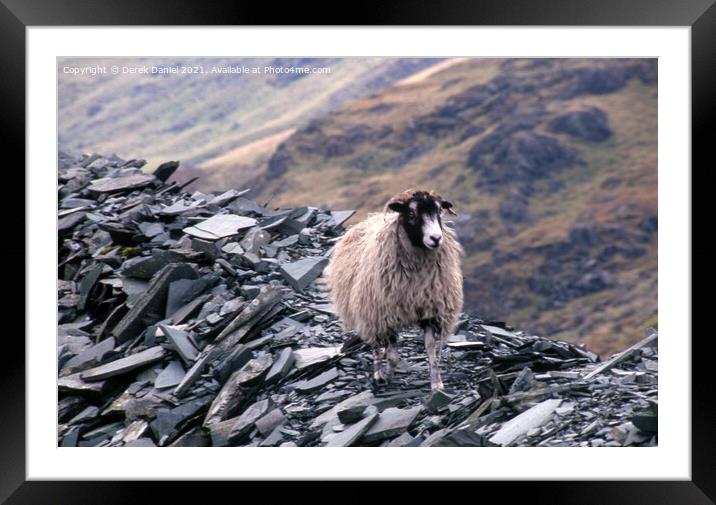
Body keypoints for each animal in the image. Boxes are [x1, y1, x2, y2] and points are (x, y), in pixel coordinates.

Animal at [326, 189, 464, 390]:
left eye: (439, 212)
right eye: (412, 214)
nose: (436, 239)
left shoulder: (430, 311)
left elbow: (431, 350)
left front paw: (436, 383)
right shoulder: (386, 315)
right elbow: (393, 356)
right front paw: (385, 375)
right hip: (369, 311)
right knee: (375, 345)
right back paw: (378, 372)